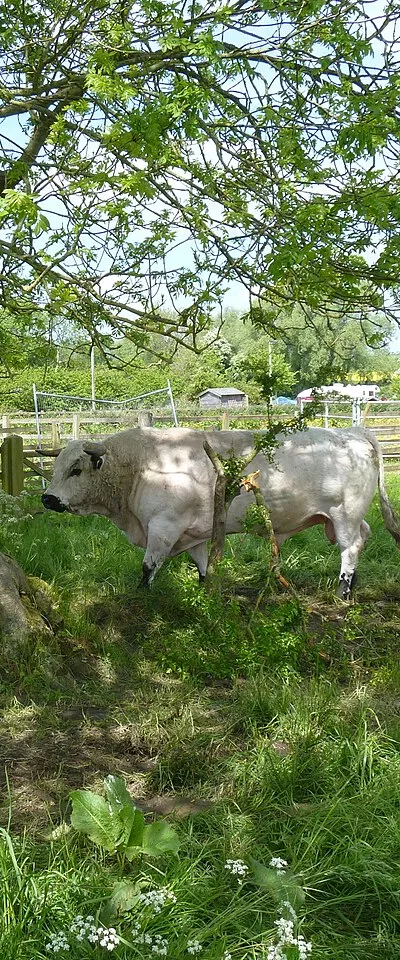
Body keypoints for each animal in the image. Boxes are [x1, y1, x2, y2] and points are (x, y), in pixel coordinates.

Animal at [41, 426, 400, 598]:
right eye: (55, 468)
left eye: (76, 470)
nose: (48, 499)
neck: (141, 466)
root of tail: (353, 432)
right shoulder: (196, 533)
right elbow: (202, 566)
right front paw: (206, 592)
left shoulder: (163, 527)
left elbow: (148, 566)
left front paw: (140, 598)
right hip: (348, 517)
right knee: (363, 538)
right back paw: (352, 586)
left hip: (344, 514)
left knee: (349, 549)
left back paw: (343, 590)